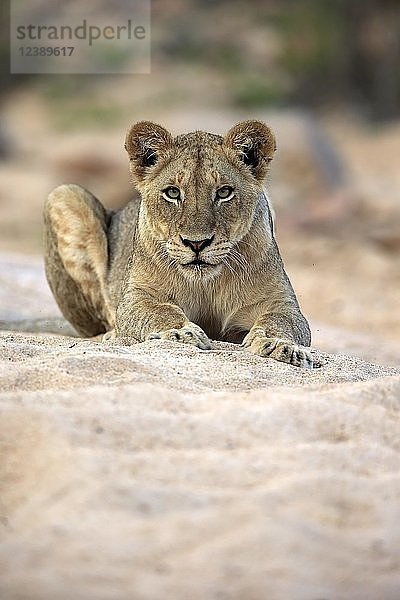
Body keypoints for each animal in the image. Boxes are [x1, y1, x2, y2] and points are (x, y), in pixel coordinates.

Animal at [42, 119, 314, 368]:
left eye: (224, 192)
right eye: (172, 193)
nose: (197, 243)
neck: (206, 284)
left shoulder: (280, 301)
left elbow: (281, 322)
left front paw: (279, 344)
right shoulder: (136, 297)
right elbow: (160, 311)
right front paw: (181, 332)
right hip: (65, 195)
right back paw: (110, 335)